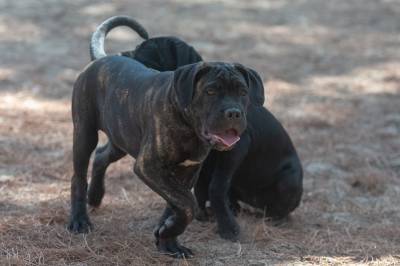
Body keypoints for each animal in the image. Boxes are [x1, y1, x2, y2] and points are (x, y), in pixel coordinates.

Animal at [68, 47, 264, 258]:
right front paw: (168, 234)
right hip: (85, 133)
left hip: (120, 139)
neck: (189, 127)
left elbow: (176, 206)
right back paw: (79, 220)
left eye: (243, 92)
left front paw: (168, 238)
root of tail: (100, 59)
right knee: (78, 177)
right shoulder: (149, 167)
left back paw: (95, 196)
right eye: (210, 91)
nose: (234, 113)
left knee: (101, 156)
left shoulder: (188, 172)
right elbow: (187, 203)